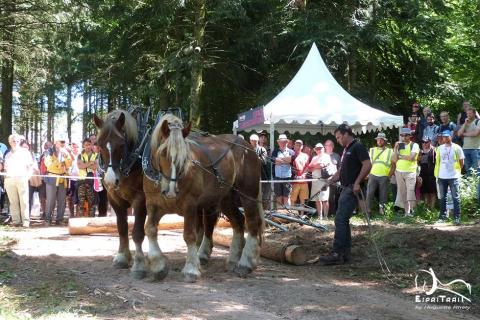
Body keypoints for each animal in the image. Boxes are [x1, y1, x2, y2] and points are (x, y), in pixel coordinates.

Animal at [92, 110, 148, 280]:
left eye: (122, 144)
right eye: (99, 144)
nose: (111, 180)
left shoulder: (141, 200)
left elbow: (137, 233)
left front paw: (139, 265)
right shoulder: (114, 199)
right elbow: (122, 228)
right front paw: (122, 257)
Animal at [145, 113, 266, 282]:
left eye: (185, 157)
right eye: (163, 153)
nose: (170, 190)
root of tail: (248, 147)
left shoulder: (189, 206)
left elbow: (190, 235)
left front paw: (191, 269)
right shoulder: (153, 205)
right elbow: (150, 229)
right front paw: (159, 266)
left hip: (247, 194)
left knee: (252, 222)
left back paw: (245, 263)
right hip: (225, 198)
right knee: (238, 221)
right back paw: (233, 259)